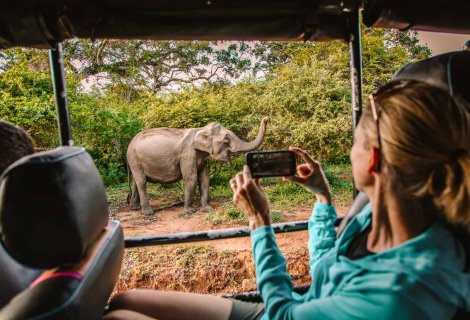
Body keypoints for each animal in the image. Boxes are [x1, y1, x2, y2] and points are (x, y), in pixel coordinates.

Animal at [126, 116, 270, 214]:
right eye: (226, 140)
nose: (266, 119)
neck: (201, 129)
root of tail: (130, 144)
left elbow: (204, 178)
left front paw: (207, 209)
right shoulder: (187, 154)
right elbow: (191, 178)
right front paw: (190, 211)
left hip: (135, 161)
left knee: (136, 182)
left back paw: (134, 208)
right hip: (135, 160)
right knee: (141, 182)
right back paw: (148, 212)